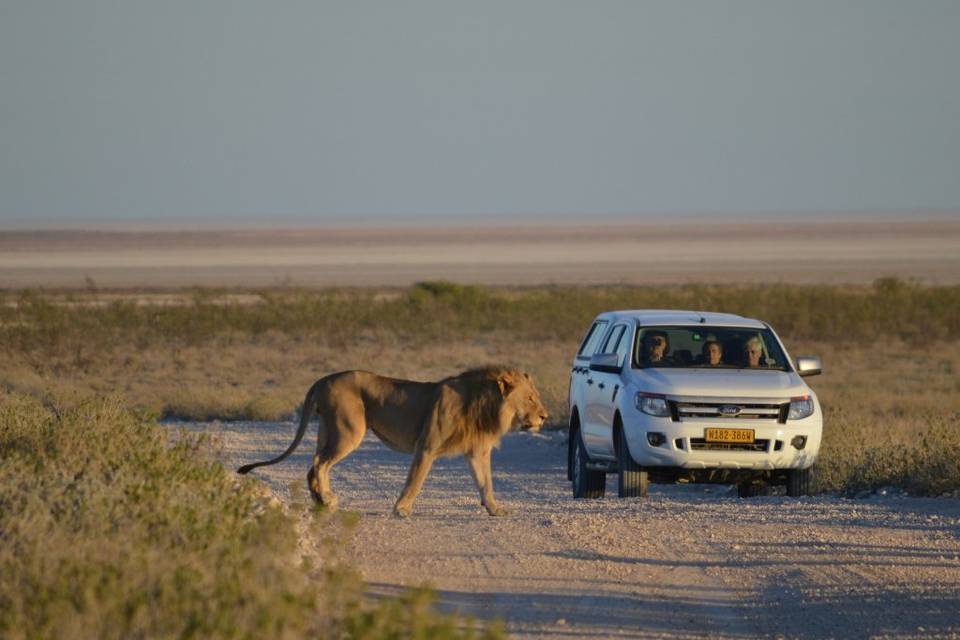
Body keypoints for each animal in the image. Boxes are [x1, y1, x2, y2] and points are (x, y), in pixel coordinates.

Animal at [235, 368, 548, 516]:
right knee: (320, 463)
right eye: (531, 397)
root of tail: (322, 380)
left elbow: (486, 483)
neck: (486, 404)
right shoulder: (427, 445)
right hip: (349, 430)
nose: (545, 416)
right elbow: (415, 480)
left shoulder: (477, 452)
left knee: (313, 465)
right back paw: (326, 499)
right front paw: (401, 509)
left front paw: (495, 509)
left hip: (328, 429)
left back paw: (322, 500)